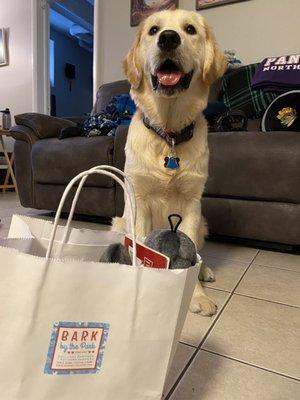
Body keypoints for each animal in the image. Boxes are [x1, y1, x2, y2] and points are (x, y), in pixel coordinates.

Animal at [113, 9, 226, 314]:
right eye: (153, 30)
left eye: (190, 29)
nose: (168, 39)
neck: (169, 132)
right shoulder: (138, 201)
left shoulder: (191, 204)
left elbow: (190, 254)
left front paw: (196, 296)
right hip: (120, 220)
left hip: (203, 222)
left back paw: (205, 271)